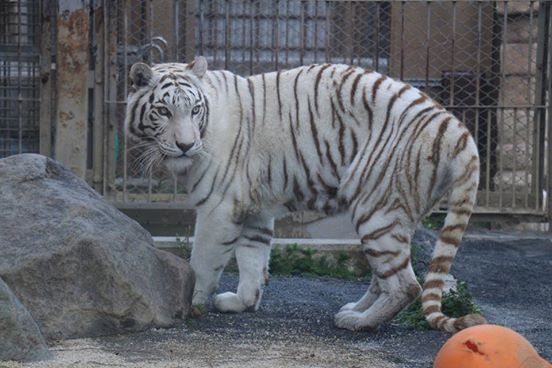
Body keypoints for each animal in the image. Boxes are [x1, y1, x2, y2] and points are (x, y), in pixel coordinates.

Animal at [126, 56, 488, 332]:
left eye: (194, 110)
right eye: (163, 111)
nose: (186, 145)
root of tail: (455, 126)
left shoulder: (219, 207)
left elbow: (202, 261)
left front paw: (189, 301)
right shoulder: (254, 209)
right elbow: (252, 258)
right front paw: (243, 301)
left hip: (376, 206)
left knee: (406, 285)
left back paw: (358, 323)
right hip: (397, 211)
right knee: (388, 275)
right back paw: (355, 310)